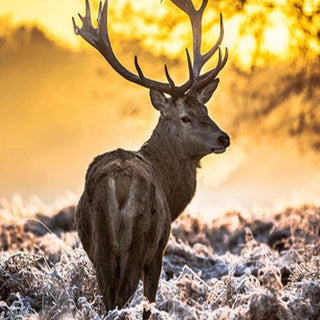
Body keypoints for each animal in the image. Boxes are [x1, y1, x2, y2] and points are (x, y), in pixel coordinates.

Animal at [73, 0, 230, 318]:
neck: (171, 192)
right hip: (139, 242)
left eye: (206, 111)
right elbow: (150, 304)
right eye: (185, 117)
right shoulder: (159, 249)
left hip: (100, 245)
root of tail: (120, 182)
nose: (224, 138)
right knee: (121, 298)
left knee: (108, 300)